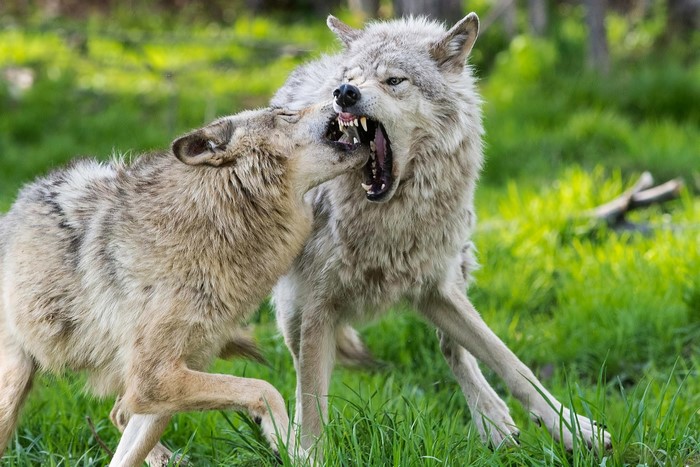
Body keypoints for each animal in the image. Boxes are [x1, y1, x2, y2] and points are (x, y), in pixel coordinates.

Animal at [0, 104, 367, 466]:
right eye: (285, 114)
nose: (340, 95)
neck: (212, 223)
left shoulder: (163, 385)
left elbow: (125, 455)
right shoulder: (153, 381)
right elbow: (266, 389)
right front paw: (290, 448)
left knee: (119, 415)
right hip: (12, 390)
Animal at [270, 13, 612, 455]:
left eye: (394, 80)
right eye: (352, 77)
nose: (343, 92)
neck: (389, 222)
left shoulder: (437, 288)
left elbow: (513, 363)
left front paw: (572, 427)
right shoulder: (317, 306)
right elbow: (312, 402)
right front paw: (307, 452)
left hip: (451, 271)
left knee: (454, 348)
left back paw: (493, 421)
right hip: (290, 309)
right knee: (298, 371)